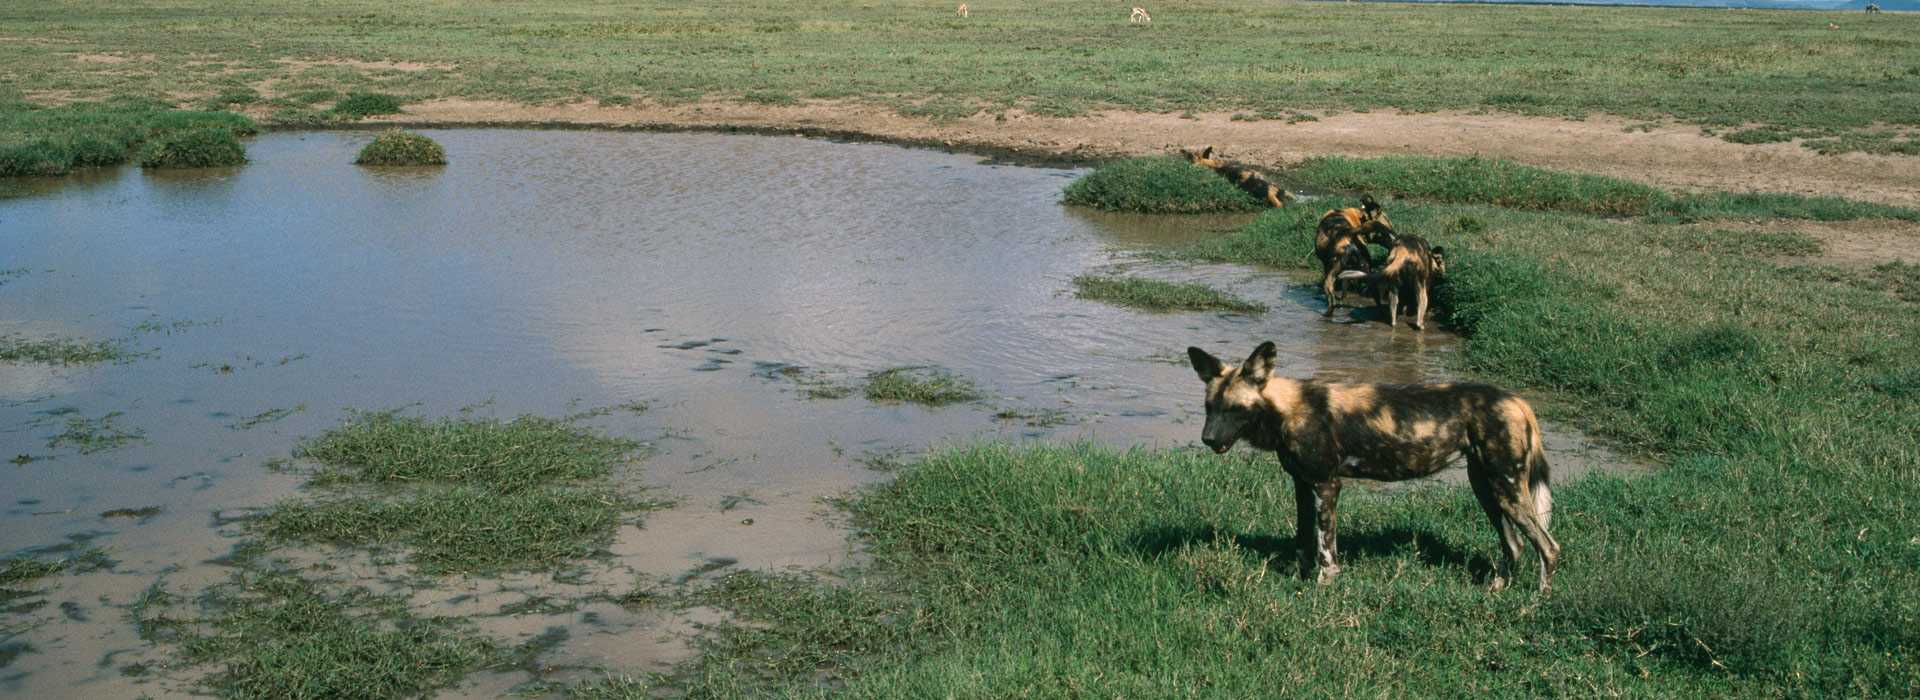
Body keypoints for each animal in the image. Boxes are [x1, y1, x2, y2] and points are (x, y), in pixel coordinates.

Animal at [1182, 341, 1559, 590]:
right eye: (1209, 407)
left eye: (1236, 409)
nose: (1207, 439)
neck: (1287, 409)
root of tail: (1516, 400)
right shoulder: (1303, 486)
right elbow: (1304, 540)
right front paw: (1300, 581)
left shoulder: (1327, 486)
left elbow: (1326, 547)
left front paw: (1323, 587)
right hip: (1488, 490)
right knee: (1516, 545)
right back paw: (1497, 590)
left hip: (1507, 490)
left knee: (1549, 548)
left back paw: (1535, 603)